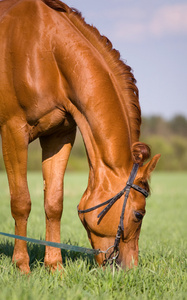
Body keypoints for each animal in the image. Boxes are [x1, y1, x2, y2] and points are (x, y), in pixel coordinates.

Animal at [0, 0, 161, 272]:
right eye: (139, 214)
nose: (131, 269)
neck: (45, 49)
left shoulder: (59, 135)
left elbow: (54, 203)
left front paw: (55, 266)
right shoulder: (13, 131)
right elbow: (21, 202)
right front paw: (21, 266)